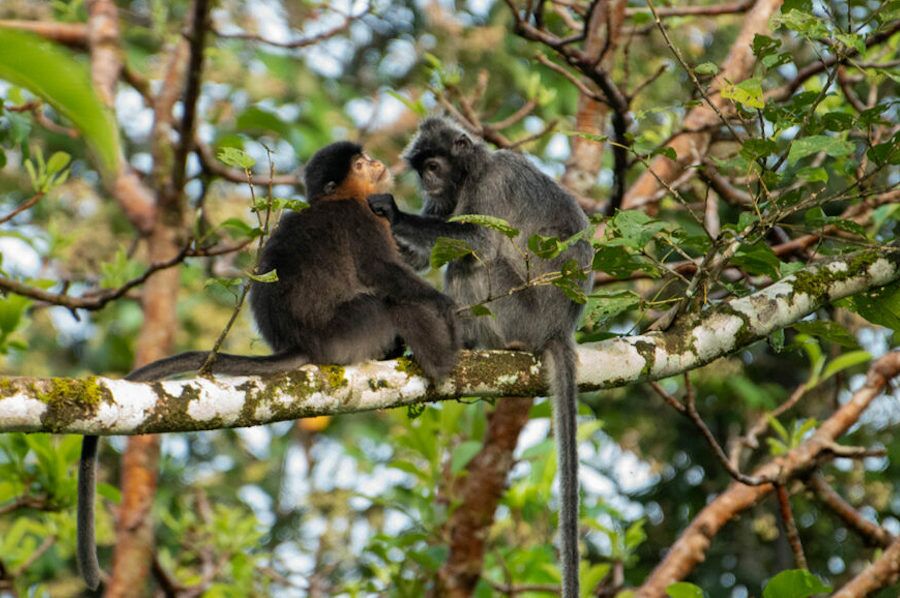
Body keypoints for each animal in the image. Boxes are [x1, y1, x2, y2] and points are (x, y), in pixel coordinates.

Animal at [75, 142, 458, 592]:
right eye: (361, 164)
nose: (379, 163)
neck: (338, 199)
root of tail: (302, 343)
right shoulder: (359, 218)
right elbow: (383, 272)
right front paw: (445, 307)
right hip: (350, 329)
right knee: (391, 302)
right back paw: (440, 360)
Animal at [370, 118, 596, 598]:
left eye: (433, 166)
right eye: (422, 170)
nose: (428, 182)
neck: (475, 169)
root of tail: (559, 329)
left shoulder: (494, 184)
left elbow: (481, 240)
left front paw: (393, 213)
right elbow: (421, 255)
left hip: (515, 312)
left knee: (473, 262)